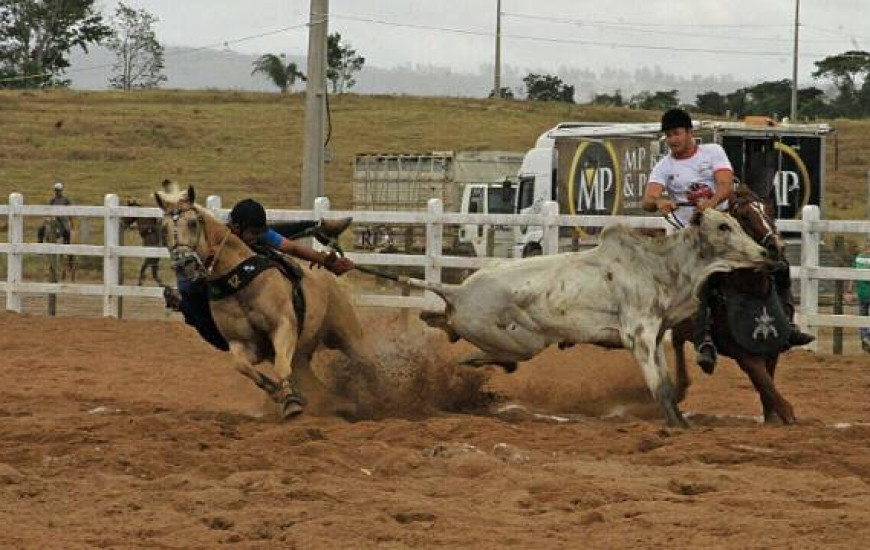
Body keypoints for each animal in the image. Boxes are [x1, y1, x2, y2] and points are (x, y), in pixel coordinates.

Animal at [154, 188, 384, 420]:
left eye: (193, 223)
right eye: (163, 228)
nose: (184, 264)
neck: (239, 283)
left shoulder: (283, 327)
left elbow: (282, 367)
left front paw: (291, 402)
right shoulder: (244, 344)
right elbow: (242, 366)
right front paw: (278, 393)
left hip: (345, 333)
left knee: (366, 363)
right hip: (301, 355)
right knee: (312, 381)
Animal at [402, 209, 768, 430]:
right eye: (723, 226)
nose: (764, 253)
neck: (661, 266)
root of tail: (458, 290)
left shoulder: (656, 336)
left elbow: (667, 382)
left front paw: (681, 422)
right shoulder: (640, 335)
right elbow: (661, 387)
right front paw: (677, 426)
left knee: (447, 325)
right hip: (521, 341)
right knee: (489, 352)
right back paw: (468, 361)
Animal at [676, 188, 796, 424]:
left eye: (770, 212)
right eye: (745, 217)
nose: (777, 246)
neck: (753, 290)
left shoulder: (773, 345)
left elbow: (767, 379)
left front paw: (771, 416)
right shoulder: (740, 352)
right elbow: (762, 378)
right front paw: (786, 413)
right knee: (675, 343)